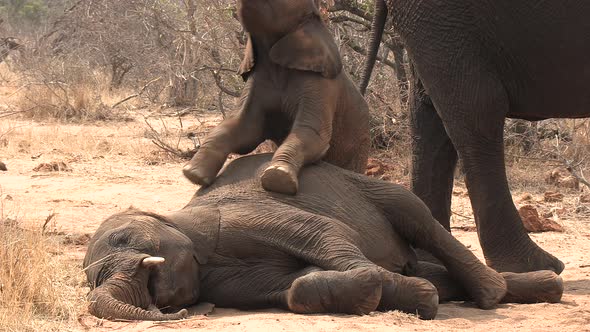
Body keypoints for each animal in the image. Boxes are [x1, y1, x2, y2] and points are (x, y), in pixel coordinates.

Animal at [84, 155, 564, 322]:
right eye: (91, 280)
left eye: (124, 238)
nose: (182, 312)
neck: (177, 217)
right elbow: (293, 290)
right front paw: (392, 294)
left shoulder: (239, 217)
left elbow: (327, 233)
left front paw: (409, 295)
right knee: (433, 267)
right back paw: (541, 288)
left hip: (372, 187)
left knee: (417, 218)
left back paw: (490, 292)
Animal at [183, 0, 372, 195]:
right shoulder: (256, 81)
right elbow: (243, 128)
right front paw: (193, 173)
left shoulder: (322, 85)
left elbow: (312, 133)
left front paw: (278, 177)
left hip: (361, 147)